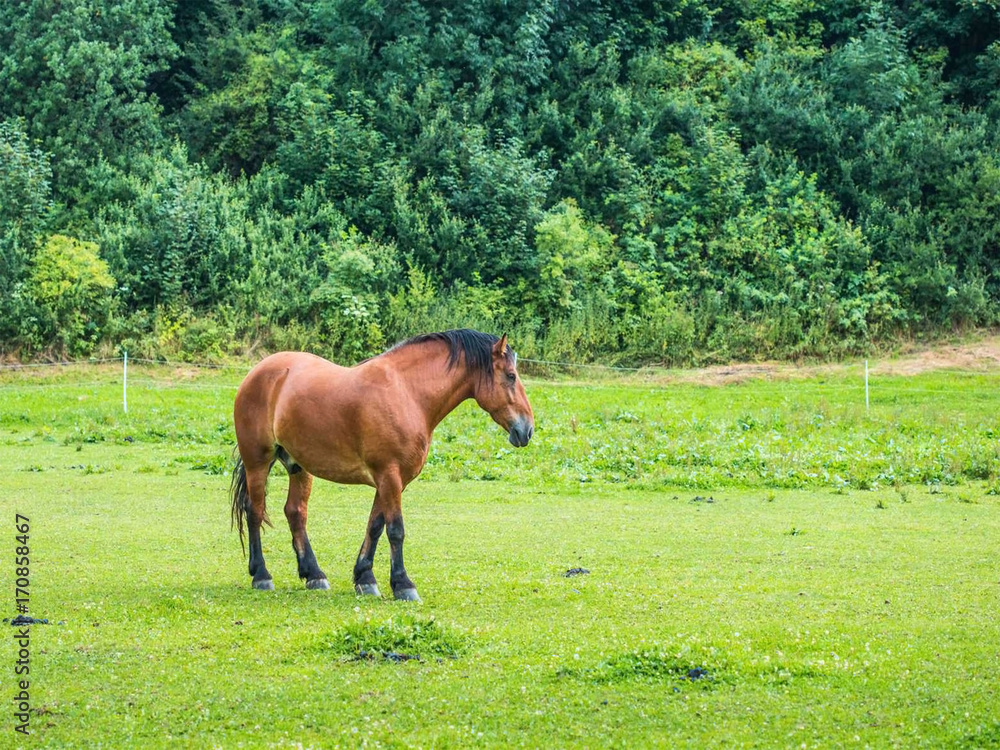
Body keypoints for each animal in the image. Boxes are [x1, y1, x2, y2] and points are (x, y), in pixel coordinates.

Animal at [229, 329, 534, 601]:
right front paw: (403, 585)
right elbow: (395, 530)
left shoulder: (390, 481)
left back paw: (314, 574)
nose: (527, 430)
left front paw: (365, 578)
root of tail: (258, 372)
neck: (408, 394)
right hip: (258, 461)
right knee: (255, 511)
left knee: (295, 512)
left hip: (298, 466)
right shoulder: (389, 476)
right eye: (511, 376)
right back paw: (261, 575)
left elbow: (375, 526)